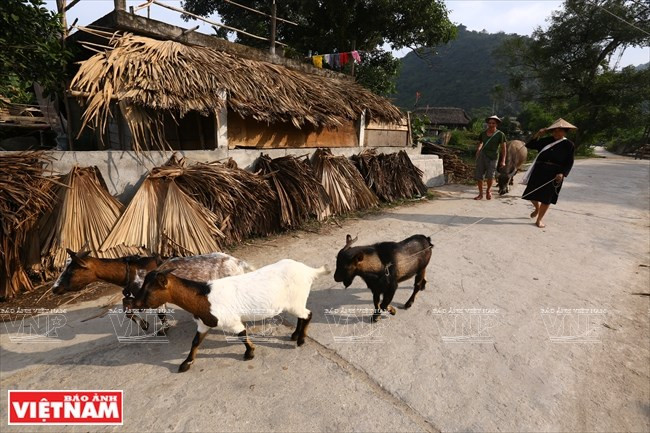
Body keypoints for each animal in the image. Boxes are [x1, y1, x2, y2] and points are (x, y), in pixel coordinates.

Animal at [128, 259, 329, 372]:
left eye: (149, 290)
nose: (134, 304)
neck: (204, 297)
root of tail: (309, 271)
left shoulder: (232, 322)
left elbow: (242, 334)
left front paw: (249, 353)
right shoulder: (204, 324)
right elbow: (195, 342)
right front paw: (186, 364)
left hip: (296, 301)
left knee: (307, 315)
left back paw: (300, 340)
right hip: (295, 302)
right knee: (302, 316)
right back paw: (295, 335)